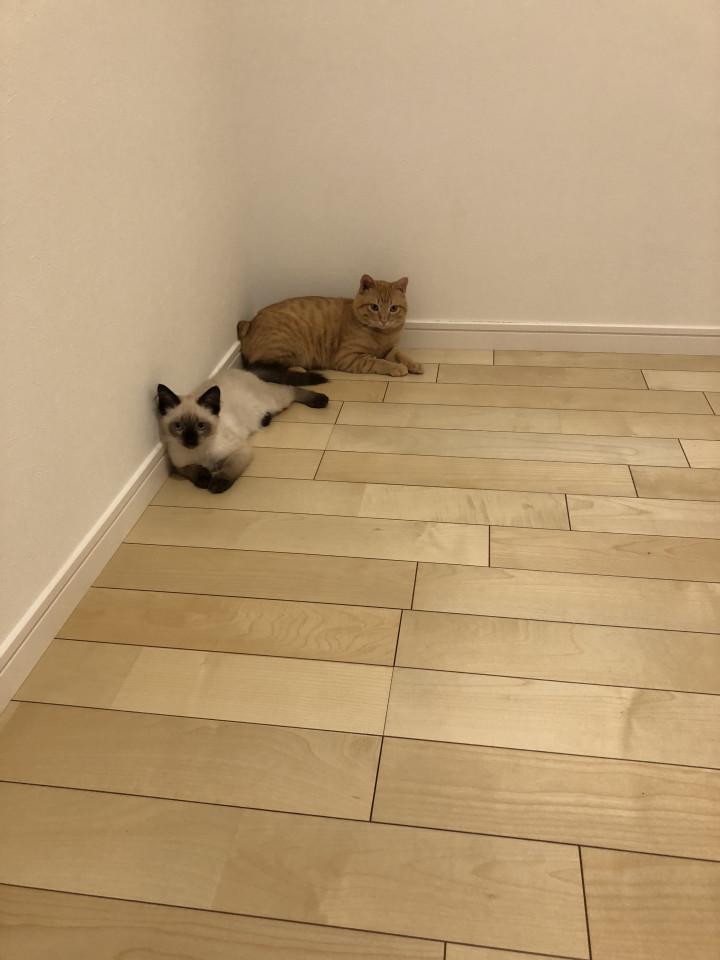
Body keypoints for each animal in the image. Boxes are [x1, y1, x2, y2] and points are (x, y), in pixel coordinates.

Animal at [156, 368, 327, 493]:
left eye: (201, 426)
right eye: (178, 426)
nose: (191, 440)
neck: (200, 451)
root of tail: (240, 370)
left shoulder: (240, 451)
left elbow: (228, 470)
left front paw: (216, 484)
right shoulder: (179, 466)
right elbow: (194, 470)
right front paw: (204, 479)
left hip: (274, 401)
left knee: (290, 389)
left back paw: (320, 400)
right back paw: (266, 419)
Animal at [238, 274, 423, 379]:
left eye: (393, 308)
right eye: (374, 307)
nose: (384, 320)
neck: (382, 334)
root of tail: (250, 324)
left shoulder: (388, 349)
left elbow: (399, 353)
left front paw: (414, 364)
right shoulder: (348, 357)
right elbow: (377, 362)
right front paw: (397, 367)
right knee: (265, 366)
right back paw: (298, 370)